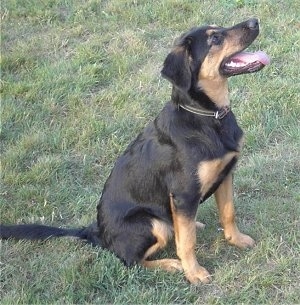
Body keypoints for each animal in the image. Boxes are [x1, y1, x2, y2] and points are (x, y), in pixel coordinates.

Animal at [0, 19, 270, 284]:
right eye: (215, 38)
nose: (255, 21)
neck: (207, 116)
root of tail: (96, 233)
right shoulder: (183, 193)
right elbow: (187, 242)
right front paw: (193, 273)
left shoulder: (225, 174)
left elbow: (228, 213)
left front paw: (237, 240)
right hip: (152, 223)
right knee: (131, 261)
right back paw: (170, 264)